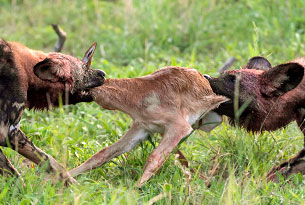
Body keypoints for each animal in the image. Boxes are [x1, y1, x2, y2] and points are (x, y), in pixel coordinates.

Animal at [0, 39, 104, 184]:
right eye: (84, 69)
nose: (103, 73)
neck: (28, 73)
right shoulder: (8, 132)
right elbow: (52, 163)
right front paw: (76, 186)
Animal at [50, 67, 228, 186]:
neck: (141, 92)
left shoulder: (179, 127)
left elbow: (154, 158)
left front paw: (137, 190)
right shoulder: (141, 129)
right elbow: (102, 154)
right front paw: (57, 178)